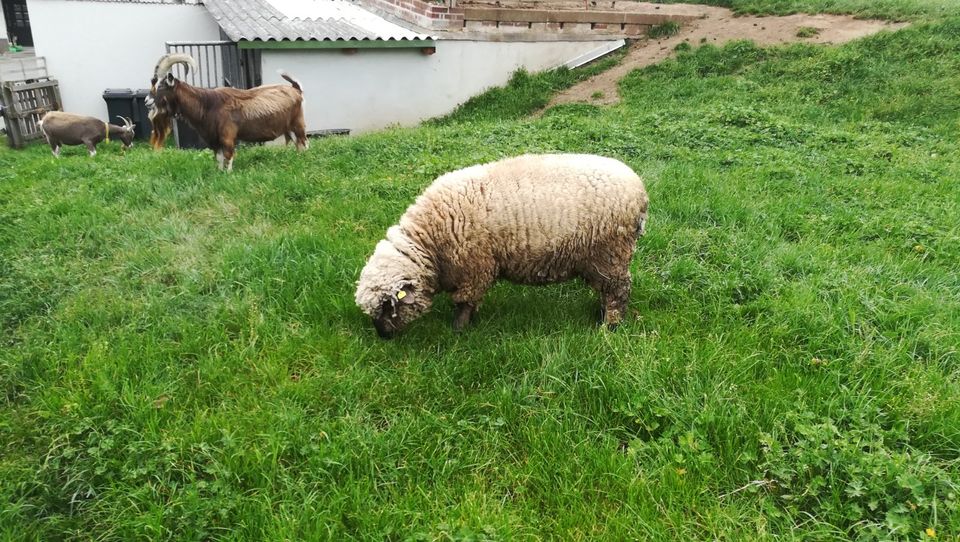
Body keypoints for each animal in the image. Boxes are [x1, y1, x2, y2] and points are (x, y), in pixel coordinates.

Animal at [146, 52, 308, 172]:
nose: (146, 101)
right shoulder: (214, 140)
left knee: (304, 143)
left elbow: (228, 157)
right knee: (298, 144)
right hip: (289, 128)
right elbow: (219, 159)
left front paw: (228, 175)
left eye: (161, 86)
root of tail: (296, 89)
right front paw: (219, 174)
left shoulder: (227, 136)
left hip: (298, 124)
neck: (207, 104)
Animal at [356, 154, 648, 340]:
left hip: (610, 253)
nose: (383, 337)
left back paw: (610, 325)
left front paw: (459, 330)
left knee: (618, 291)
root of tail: (639, 191)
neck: (430, 243)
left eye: (387, 306)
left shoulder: (474, 269)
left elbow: (464, 303)